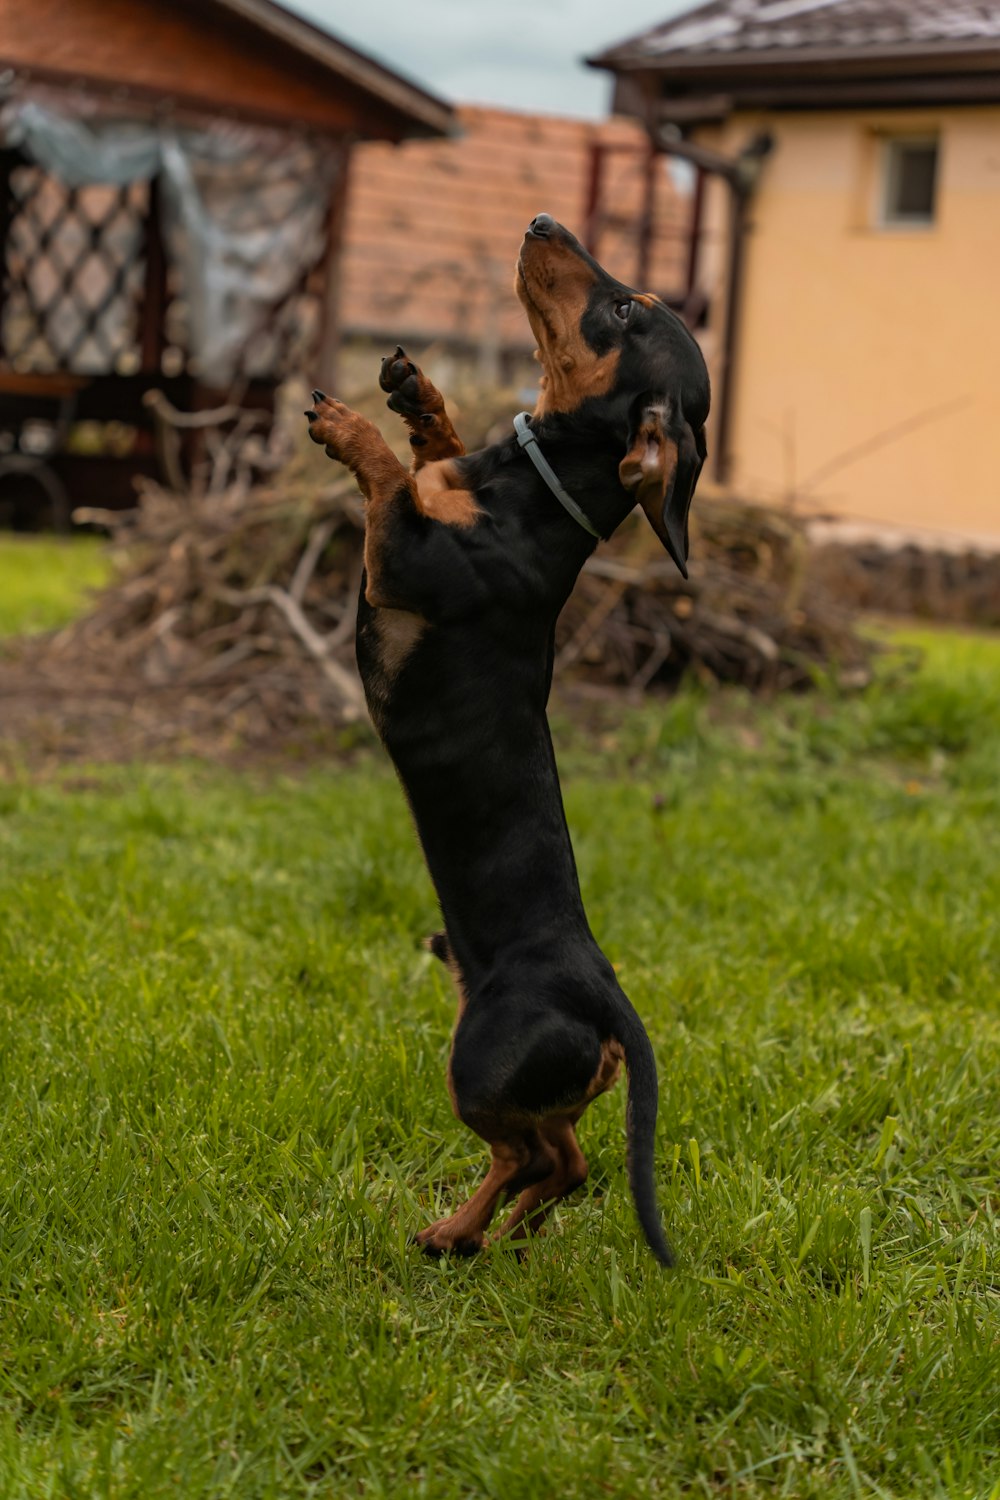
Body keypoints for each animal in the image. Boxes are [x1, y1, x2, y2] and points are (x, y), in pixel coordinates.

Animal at [308, 211, 707, 1266]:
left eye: (627, 309)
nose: (540, 222)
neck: (530, 491)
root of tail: (607, 1000)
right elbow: (428, 458)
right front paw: (416, 394)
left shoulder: (400, 556)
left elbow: (390, 482)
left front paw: (351, 427)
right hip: (520, 1079)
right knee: (564, 1162)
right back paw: (477, 1234)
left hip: (477, 1064)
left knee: (542, 1158)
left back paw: (462, 1232)